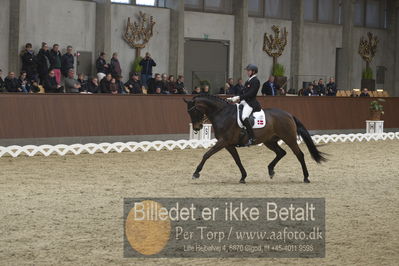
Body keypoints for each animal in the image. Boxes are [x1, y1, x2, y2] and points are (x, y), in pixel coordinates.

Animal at [184, 94, 328, 184]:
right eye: (189, 112)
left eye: (194, 111)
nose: (197, 128)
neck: (222, 113)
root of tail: (289, 114)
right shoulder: (228, 144)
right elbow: (237, 160)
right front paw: (243, 177)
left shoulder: (223, 142)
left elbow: (207, 154)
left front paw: (196, 173)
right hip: (269, 141)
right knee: (281, 152)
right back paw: (271, 170)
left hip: (289, 139)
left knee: (299, 155)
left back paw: (306, 177)